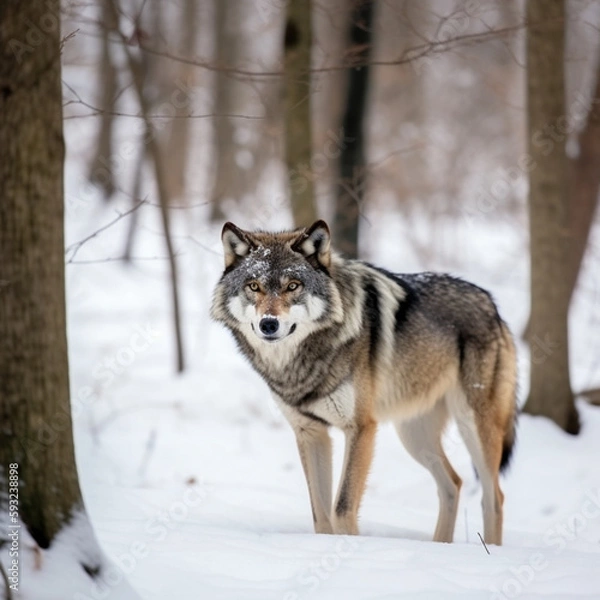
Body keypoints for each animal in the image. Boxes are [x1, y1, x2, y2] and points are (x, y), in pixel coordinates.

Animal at [211, 219, 516, 544]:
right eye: (254, 286)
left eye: (292, 286)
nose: (269, 324)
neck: (299, 364)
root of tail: (492, 305)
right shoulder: (310, 433)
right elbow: (321, 515)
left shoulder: (360, 428)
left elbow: (341, 508)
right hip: (414, 436)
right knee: (453, 484)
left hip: (473, 426)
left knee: (493, 496)